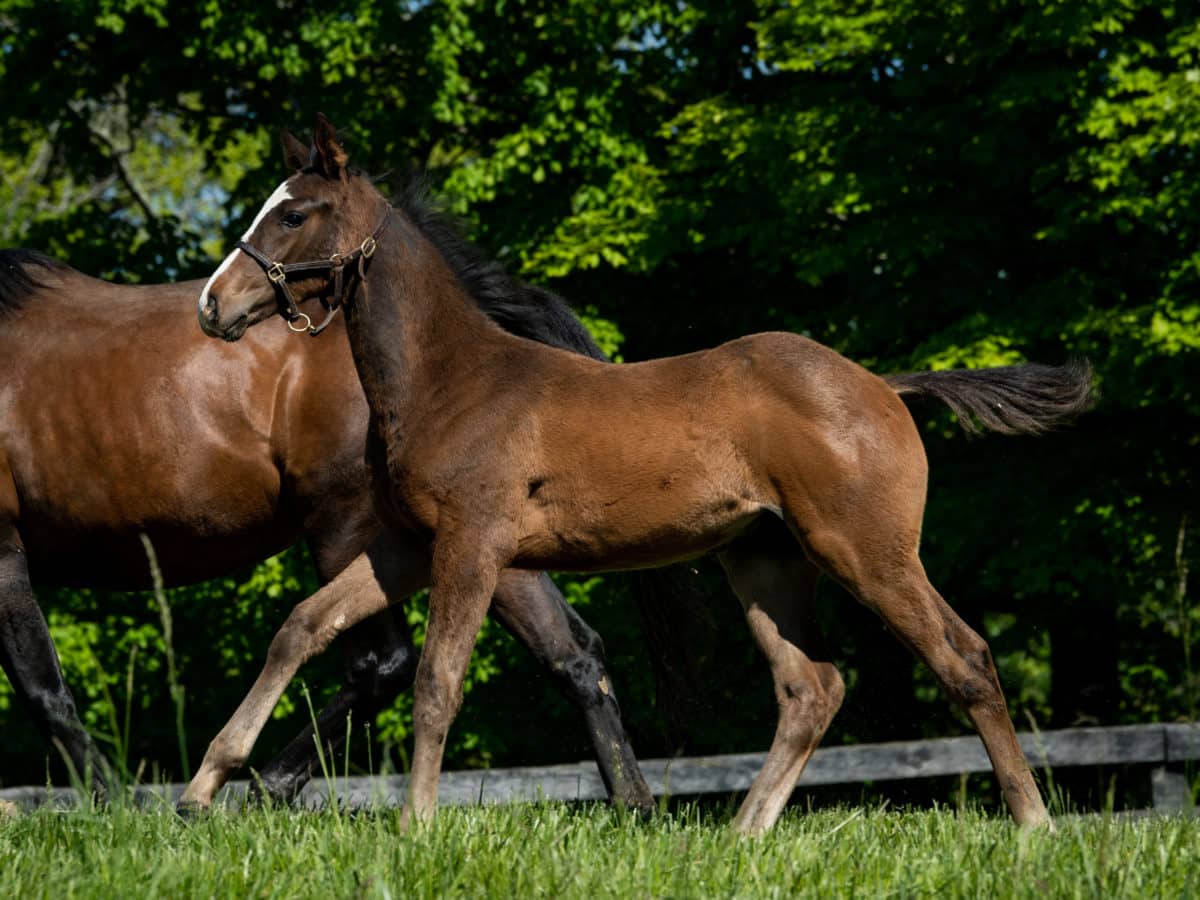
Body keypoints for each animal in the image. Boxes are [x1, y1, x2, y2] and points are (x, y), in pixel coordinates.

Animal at [184, 116, 1089, 835]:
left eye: (295, 212)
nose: (211, 307)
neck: (453, 379)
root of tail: (885, 386)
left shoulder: (473, 544)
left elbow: (438, 678)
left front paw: (415, 826)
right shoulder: (405, 546)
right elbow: (301, 626)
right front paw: (202, 788)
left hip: (866, 551)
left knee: (963, 657)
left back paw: (1033, 824)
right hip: (764, 560)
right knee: (812, 687)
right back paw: (742, 836)